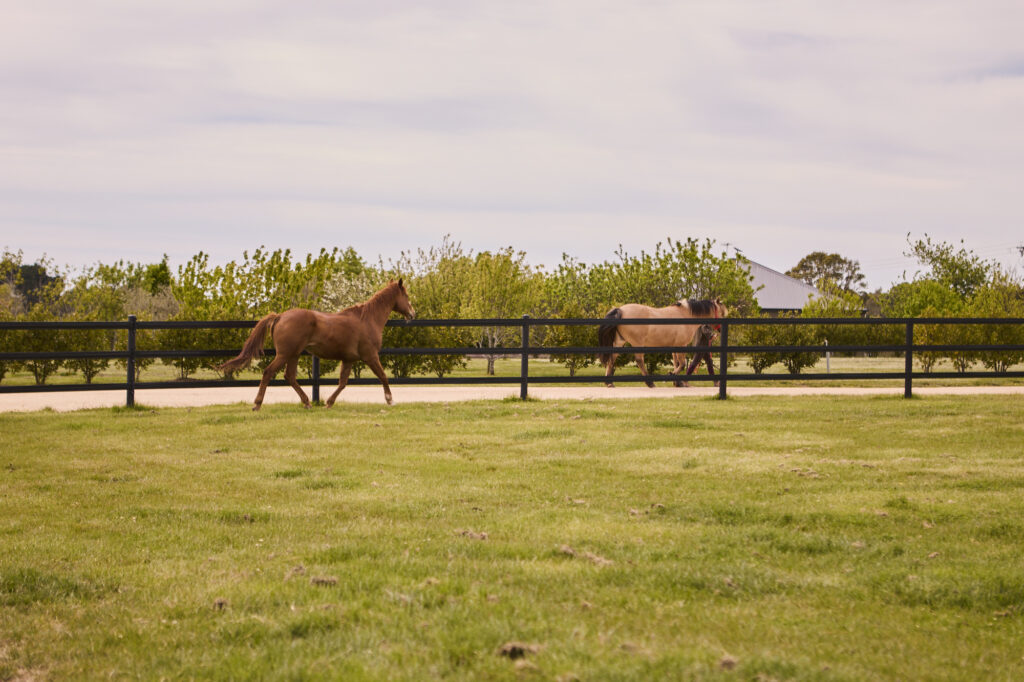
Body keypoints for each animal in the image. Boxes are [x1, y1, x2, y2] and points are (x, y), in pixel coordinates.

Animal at [217, 279, 415, 410]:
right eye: (406, 295)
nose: (412, 313)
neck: (367, 319)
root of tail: (280, 316)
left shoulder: (349, 359)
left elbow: (343, 383)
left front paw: (329, 403)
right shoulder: (370, 356)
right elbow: (383, 376)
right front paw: (390, 400)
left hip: (294, 355)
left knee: (290, 376)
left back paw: (306, 402)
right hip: (284, 354)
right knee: (268, 372)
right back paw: (257, 405)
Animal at [597, 298, 727, 388]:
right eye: (722, 313)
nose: (720, 329)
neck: (685, 315)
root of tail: (620, 310)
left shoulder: (675, 347)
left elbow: (677, 364)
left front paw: (677, 381)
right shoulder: (681, 345)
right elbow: (682, 364)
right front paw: (672, 375)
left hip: (620, 341)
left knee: (612, 358)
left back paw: (609, 383)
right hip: (637, 343)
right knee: (639, 360)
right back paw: (650, 383)